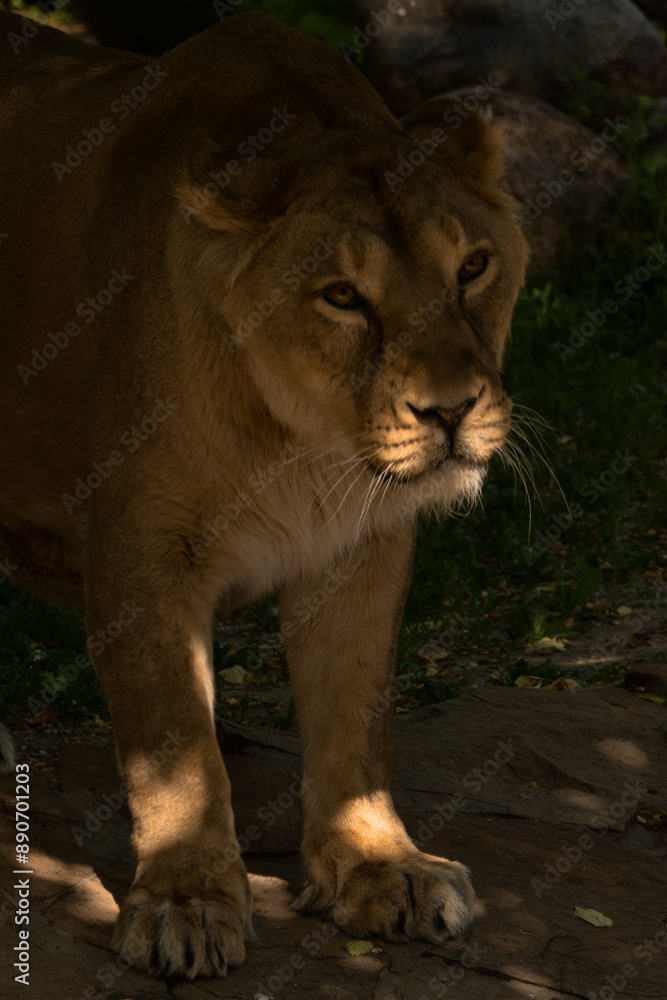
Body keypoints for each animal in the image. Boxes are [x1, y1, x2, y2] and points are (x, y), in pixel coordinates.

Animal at [0, 9, 528, 979]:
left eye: (472, 267)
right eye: (342, 296)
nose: (450, 411)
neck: (308, 448)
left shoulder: (363, 547)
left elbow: (354, 715)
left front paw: (381, 868)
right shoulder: (140, 548)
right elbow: (179, 748)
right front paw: (187, 900)